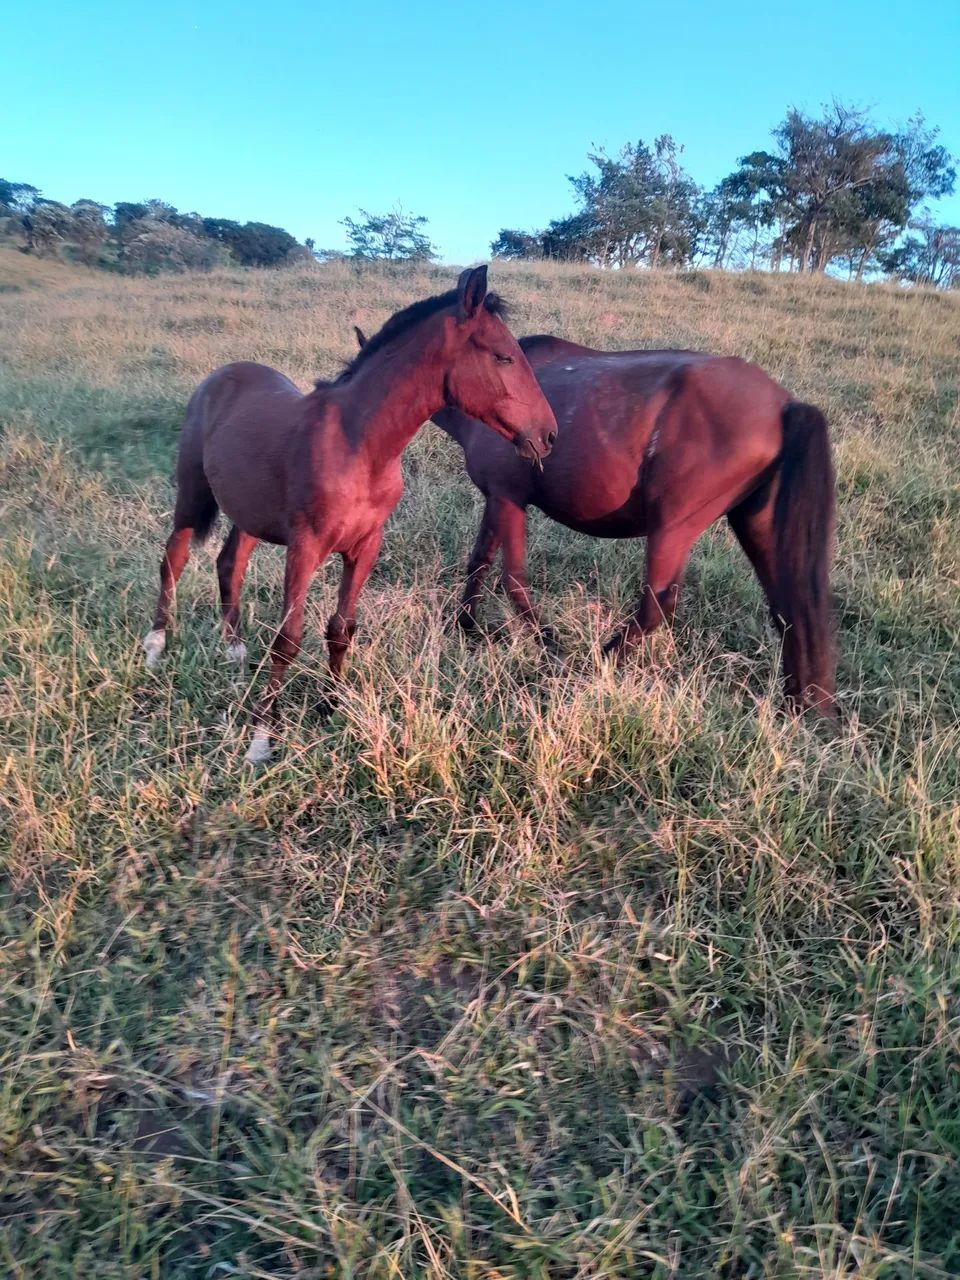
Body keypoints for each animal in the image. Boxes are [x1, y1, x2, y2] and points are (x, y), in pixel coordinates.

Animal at [144, 266, 559, 762]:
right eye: (504, 357)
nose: (548, 436)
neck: (359, 444)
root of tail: (223, 374)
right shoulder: (305, 546)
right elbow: (288, 638)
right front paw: (263, 737)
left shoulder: (365, 545)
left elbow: (342, 627)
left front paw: (331, 705)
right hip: (192, 492)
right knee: (175, 558)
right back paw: (156, 645)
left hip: (249, 511)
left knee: (230, 562)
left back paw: (235, 651)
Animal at [352, 329, 836, 715]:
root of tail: (784, 404)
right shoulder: (497, 500)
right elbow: (479, 562)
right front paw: (464, 627)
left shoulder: (509, 498)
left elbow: (513, 580)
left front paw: (549, 647)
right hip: (755, 525)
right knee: (790, 608)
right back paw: (803, 704)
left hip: (673, 526)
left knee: (657, 604)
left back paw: (598, 663)